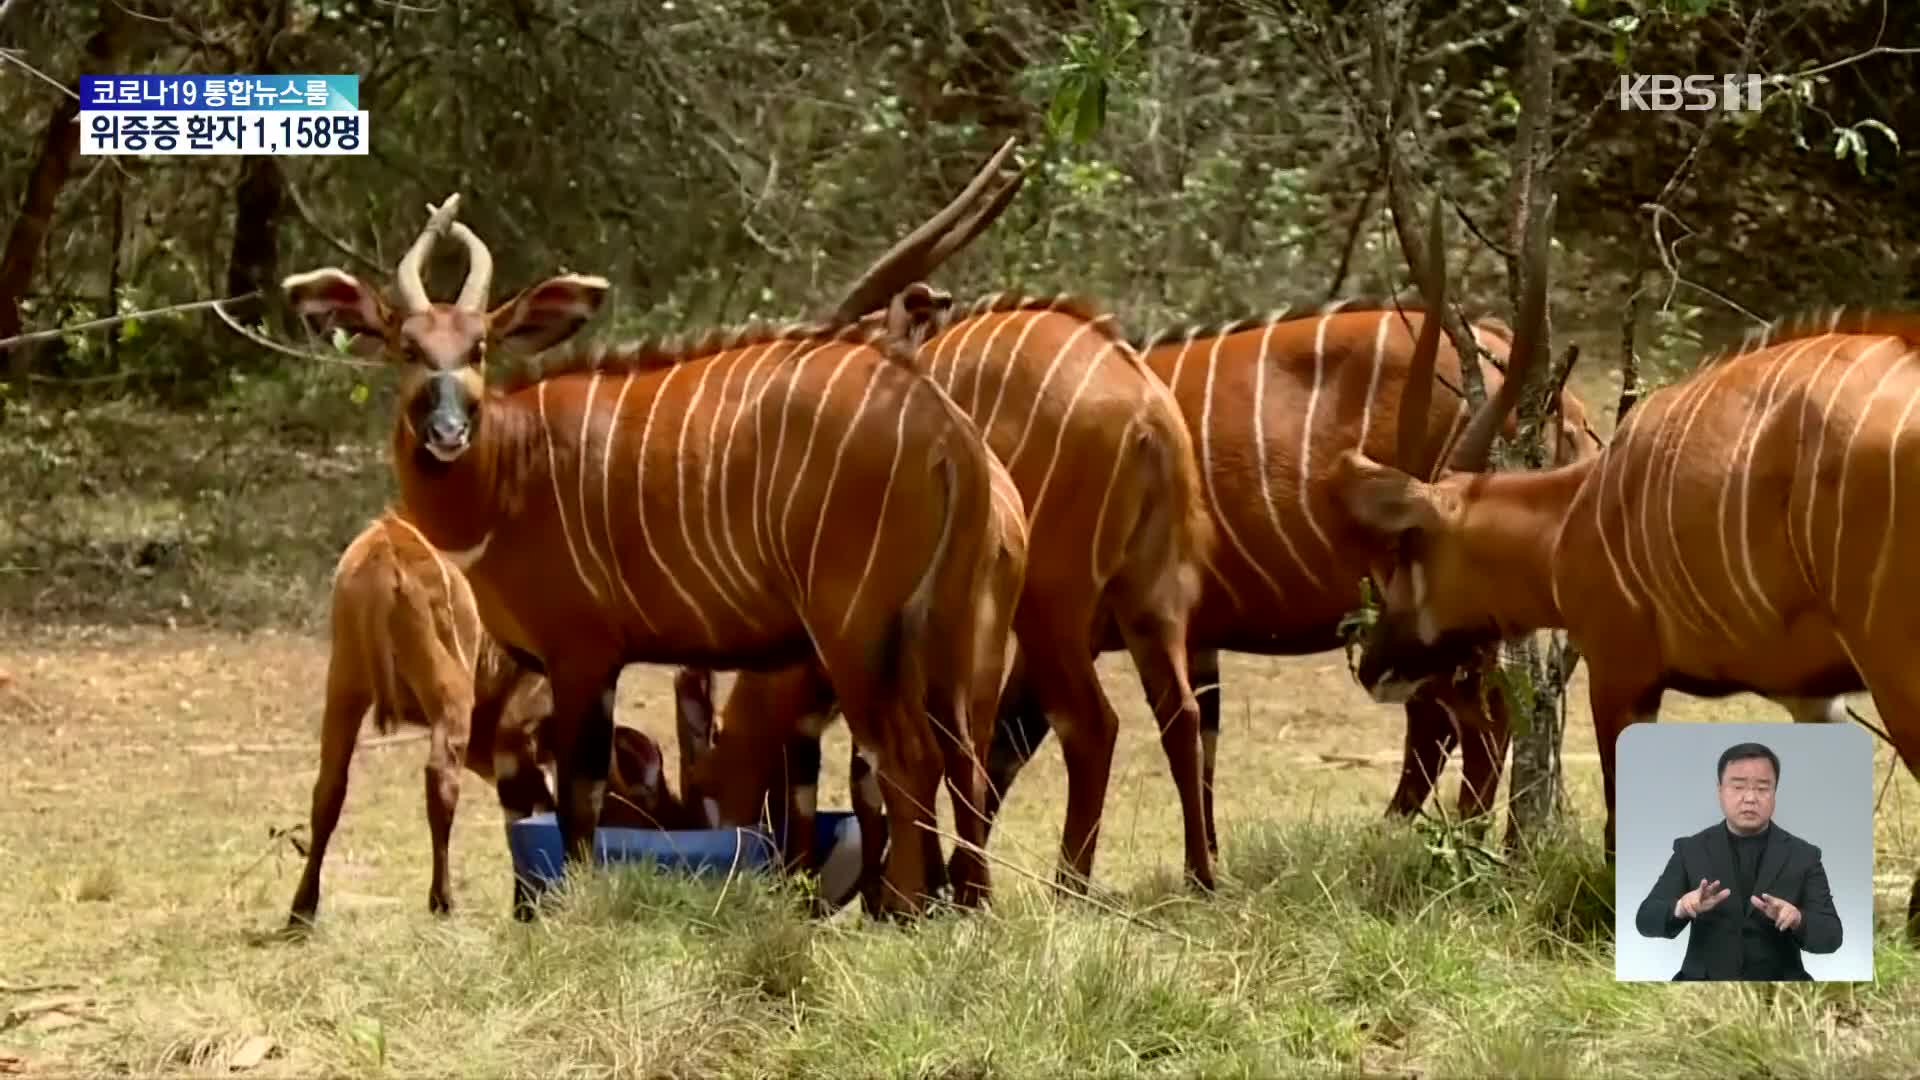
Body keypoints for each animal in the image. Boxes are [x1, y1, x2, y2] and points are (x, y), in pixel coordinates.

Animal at [280, 195, 1021, 914]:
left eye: (479, 346)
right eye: (407, 347)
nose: (447, 431)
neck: (511, 467)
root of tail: (942, 425)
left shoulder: (580, 654)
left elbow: (580, 800)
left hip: (855, 634)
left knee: (906, 758)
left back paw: (907, 910)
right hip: (946, 634)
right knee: (960, 755)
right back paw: (964, 906)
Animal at [1328, 201, 1912, 926]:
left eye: (1409, 546)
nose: (1374, 668)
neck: (1578, 508)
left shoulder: (1619, 674)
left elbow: (1619, 828)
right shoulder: (1810, 694)